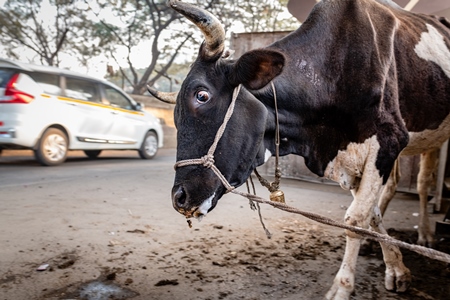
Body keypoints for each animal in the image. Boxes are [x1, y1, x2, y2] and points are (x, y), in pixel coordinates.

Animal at [149, 0, 450, 300]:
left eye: (202, 95)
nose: (179, 198)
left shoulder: (388, 141)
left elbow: (356, 218)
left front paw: (342, 287)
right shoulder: (351, 158)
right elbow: (370, 213)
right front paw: (397, 269)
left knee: (423, 183)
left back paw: (426, 235)